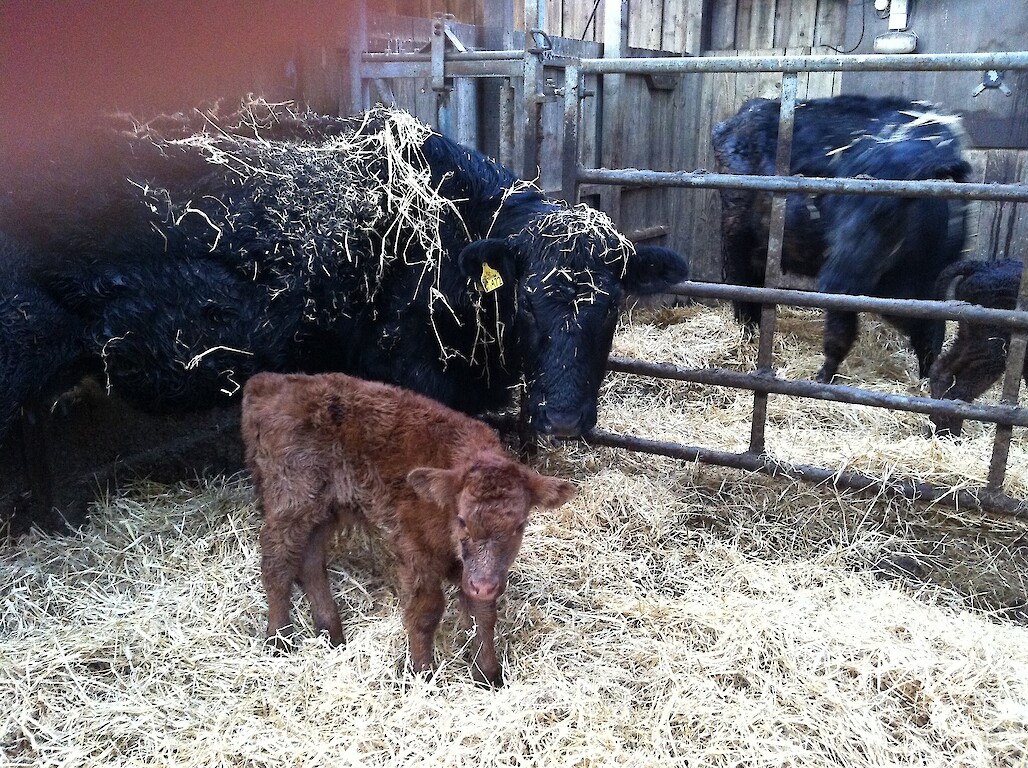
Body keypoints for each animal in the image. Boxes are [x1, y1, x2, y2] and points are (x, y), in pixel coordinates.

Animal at [241, 371, 576, 687]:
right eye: (462, 519)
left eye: (520, 525)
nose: (483, 584)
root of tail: (270, 383)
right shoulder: (416, 550)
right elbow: (426, 612)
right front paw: (422, 672)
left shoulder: (477, 573)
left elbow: (483, 614)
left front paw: (488, 674)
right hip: (291, 501)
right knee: (277, 562)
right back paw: (279, 639)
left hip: (326, 508)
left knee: (310, 561)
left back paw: (330, 632)